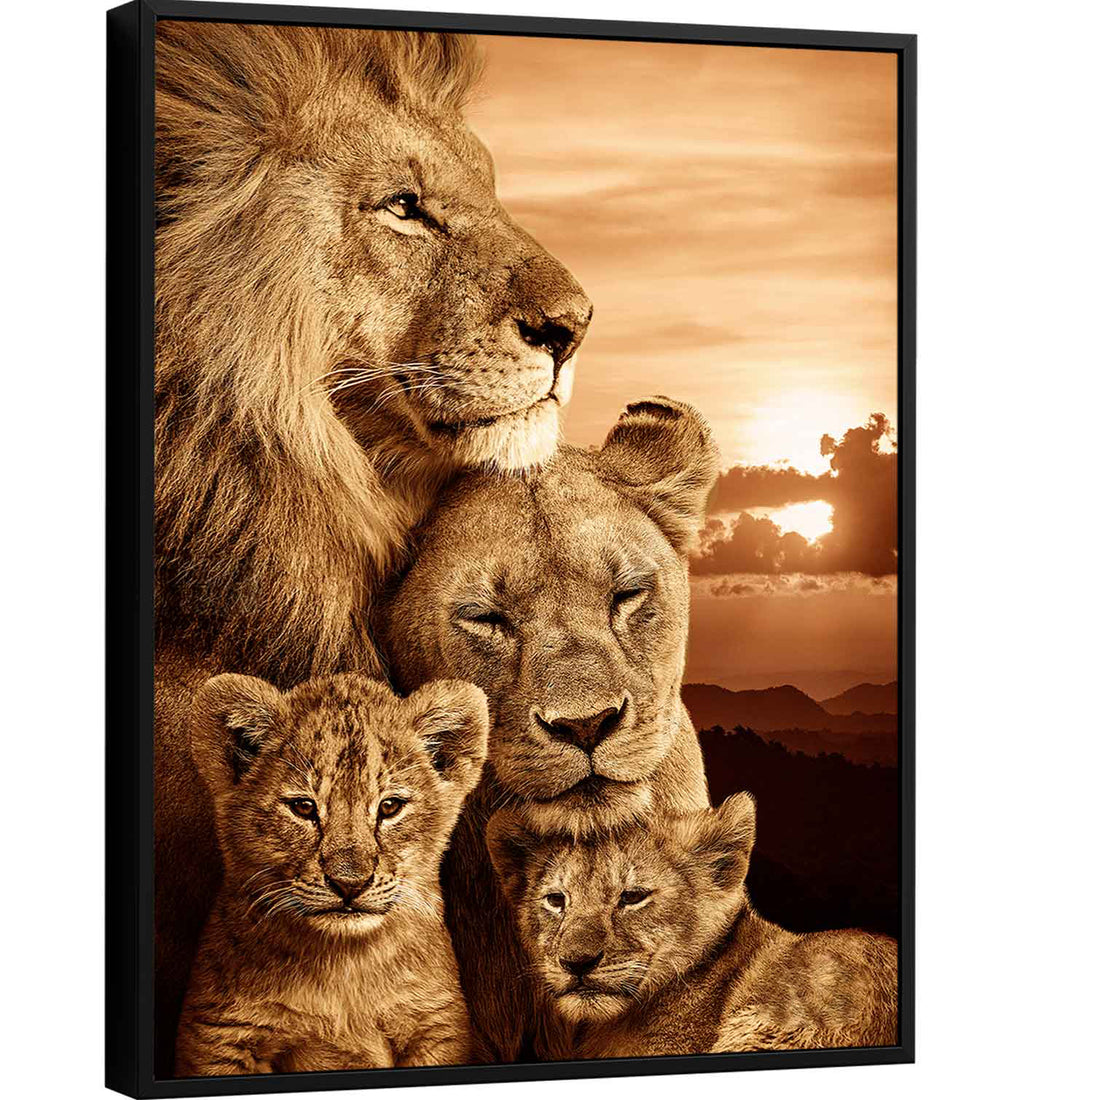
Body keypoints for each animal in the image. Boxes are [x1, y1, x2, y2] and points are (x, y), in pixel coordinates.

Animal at [176, 671, 488, 1076]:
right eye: (304, 807)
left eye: (390, 806)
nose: (349, 883)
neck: (343, 965)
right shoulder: (221, 1036)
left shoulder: (435, 1026)